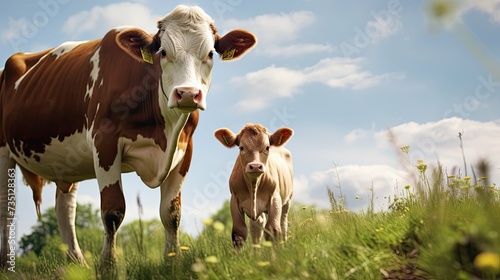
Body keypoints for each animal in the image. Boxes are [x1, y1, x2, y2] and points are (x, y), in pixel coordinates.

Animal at [0, 5, 256, 268]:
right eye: (163, 52)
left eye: (210, 53)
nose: (187, 94)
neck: (164, 129)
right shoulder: (104, 142)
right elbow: (113, 211)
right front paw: (108, 265)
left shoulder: (186, 148)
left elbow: (171, 213)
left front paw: (172, 260)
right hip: (3, 151)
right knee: (6, 211)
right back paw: (6, 264)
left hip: (67, 161)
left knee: (65, 209)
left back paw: (77, 264)